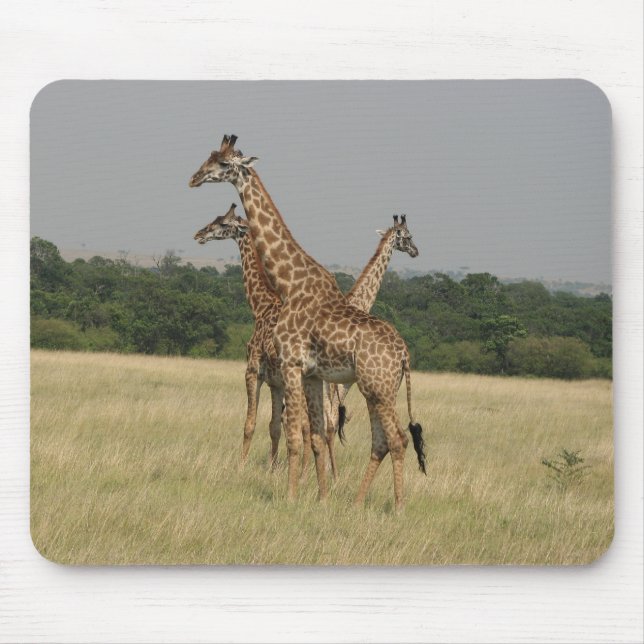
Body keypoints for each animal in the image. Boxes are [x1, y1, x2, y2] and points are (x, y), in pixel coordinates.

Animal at [193, 203, 346, 477]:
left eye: (223, 223)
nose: (199, 234)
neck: (260, 305)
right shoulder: (276, 383)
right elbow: (274, 426)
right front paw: (272, 468)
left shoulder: (253, 371)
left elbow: (250, 423)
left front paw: (241, 465)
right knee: (324, 426)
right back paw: (330, 474)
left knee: (310, 427)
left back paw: (307, 472)